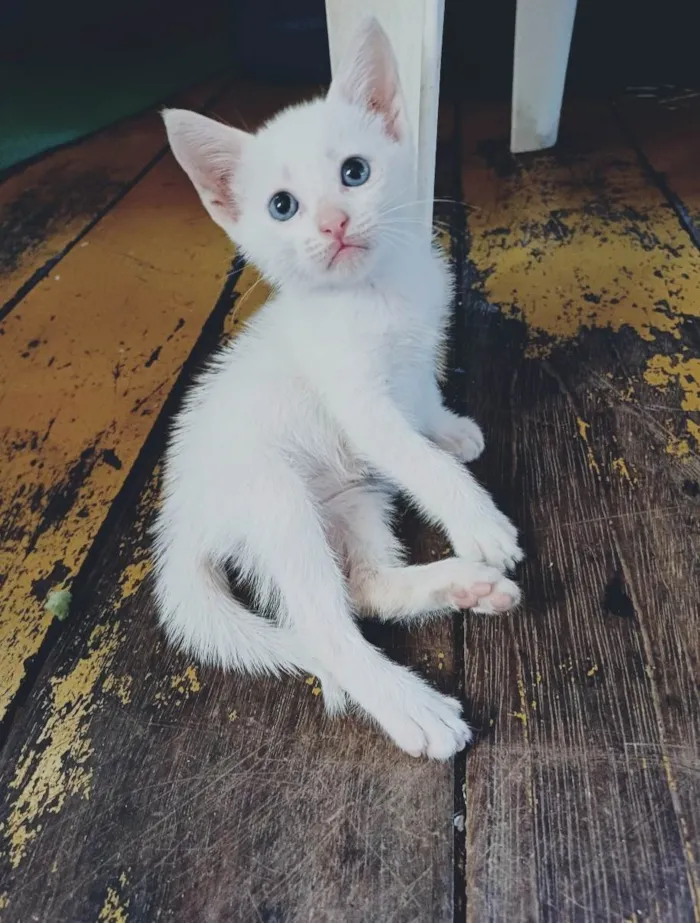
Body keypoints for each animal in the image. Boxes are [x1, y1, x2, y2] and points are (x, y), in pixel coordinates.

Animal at [154, 18, 524, 760]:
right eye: (282, 206)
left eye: (355, 171)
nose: (332, 223)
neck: (376, 293)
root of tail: (182, 517)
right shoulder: (360, 405)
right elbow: (418, 459)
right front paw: (476, 518)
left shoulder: (415, 357)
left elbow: (423, 401)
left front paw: (448, 428)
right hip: (277, 502)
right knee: (326, 627)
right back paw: (414, 707)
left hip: (355, 499)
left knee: (366, 589)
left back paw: (463, 586)